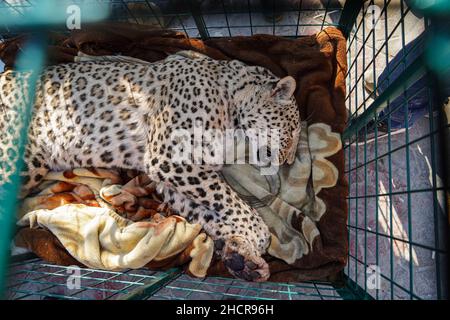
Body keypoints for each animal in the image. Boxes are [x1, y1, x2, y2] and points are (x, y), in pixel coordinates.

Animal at [0, 50, 302, 282]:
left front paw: (241, 252)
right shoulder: (172, 158)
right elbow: (240, 206)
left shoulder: (176, 179)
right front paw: (257, 238)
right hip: (22, 160)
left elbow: (213, 212)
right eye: (291, 133)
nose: (287, 163)